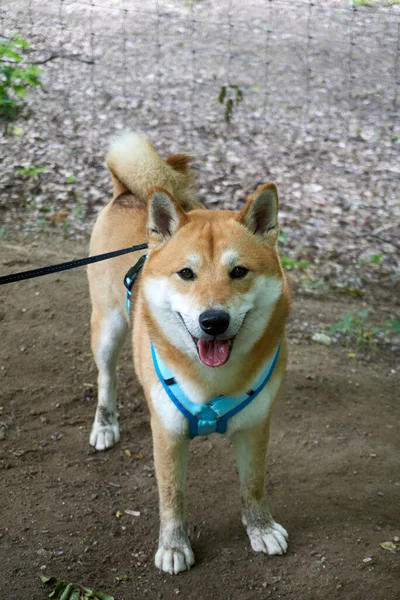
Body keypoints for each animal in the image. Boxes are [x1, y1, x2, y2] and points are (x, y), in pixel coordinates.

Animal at [87, 134, 290, 576]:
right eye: (186, 274)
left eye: (239, 272)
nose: (213, 320)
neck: (212, 380)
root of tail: (127, 193)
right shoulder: (167, 433)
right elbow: (172, 496)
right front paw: (174, 545)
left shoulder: (255, 426)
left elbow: (253, 485)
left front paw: (261, 528)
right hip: (107, 329)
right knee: (106, 378)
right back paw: (105, 424)